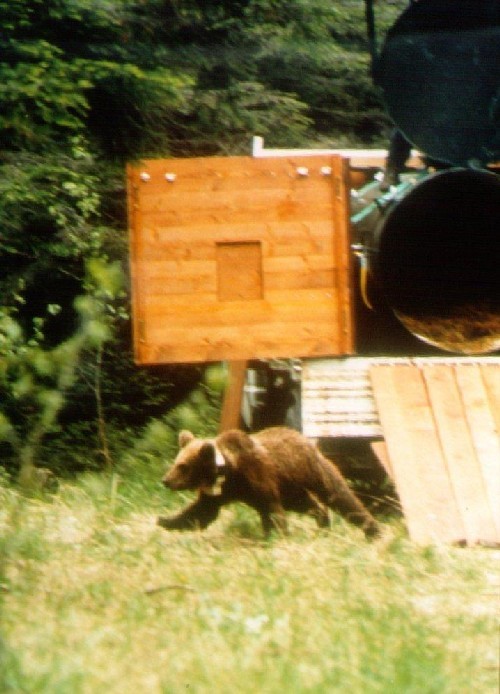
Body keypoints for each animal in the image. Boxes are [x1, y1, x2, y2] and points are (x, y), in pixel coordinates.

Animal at [158, 426, 380, 540]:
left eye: (183, 466)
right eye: (176, 462)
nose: (166, 481)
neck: (228, 470)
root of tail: (305, 439)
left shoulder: (258, 477)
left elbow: (273, 511)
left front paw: (275, 537)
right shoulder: (221, 492)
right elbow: (202, 511)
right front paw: (166, 520)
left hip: (310, 470)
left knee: (339, 494)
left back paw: (372, 529)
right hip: (291, 487)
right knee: (307, 504)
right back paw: (323, 521)